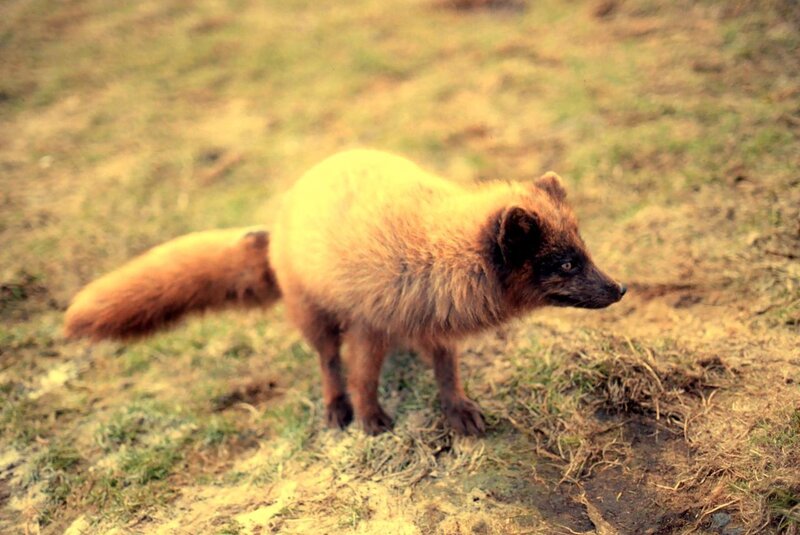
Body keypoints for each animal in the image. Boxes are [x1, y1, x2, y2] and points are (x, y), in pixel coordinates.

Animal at [65, 149, 626, 436]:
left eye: (584, 250)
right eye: (565, 264)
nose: (620, 288)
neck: (433, 254)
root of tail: (280, 220)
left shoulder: (436, 326)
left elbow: (447, 373)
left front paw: (459, 410)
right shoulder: (369, 327)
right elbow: (363, 378)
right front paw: (371, 418)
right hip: (314, 317)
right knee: (328, 363)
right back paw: (336, 411)